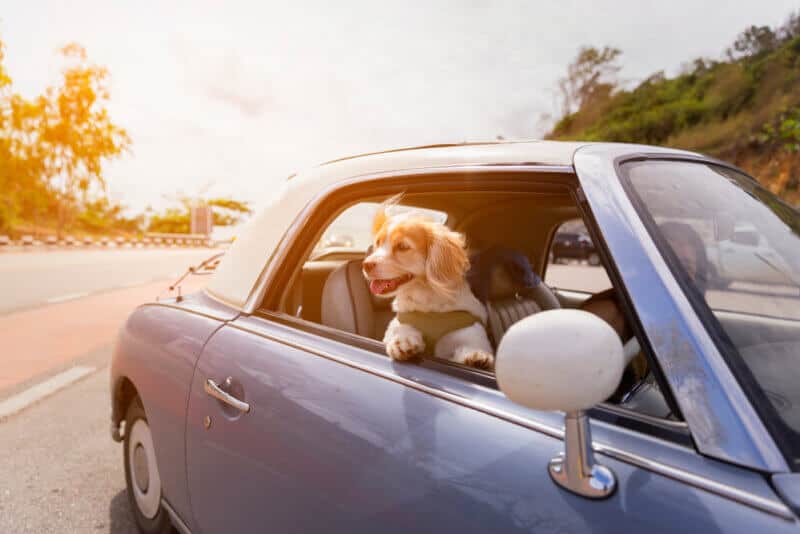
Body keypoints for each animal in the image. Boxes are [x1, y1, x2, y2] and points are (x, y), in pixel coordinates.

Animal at [362, 199, 494, 370]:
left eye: (402, 246)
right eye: (378, 243)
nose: (366, 264)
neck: (427, 303)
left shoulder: (471, 333)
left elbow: (471, 347)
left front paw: (476, 356)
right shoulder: (398, 323)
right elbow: (400, 330)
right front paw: (402, 342)